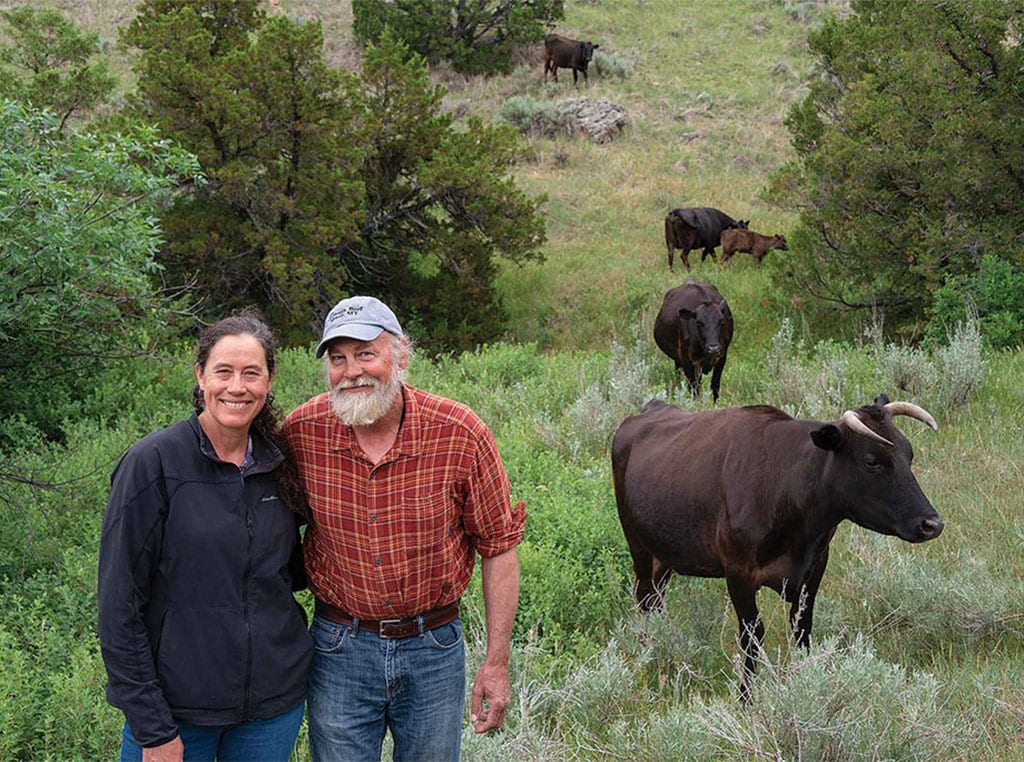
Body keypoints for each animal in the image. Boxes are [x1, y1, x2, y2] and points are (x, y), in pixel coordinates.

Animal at [606, 395, 942, 700]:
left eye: (909, 454)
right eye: (872, 461)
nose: (932, 523)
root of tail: (649, 409)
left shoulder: (816, 565)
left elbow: (801, 627)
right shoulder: (738, 572)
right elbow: (752, 635)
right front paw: (746, 700)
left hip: (664, 557)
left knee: (656, 601)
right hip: (638, 547)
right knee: (644, 599)